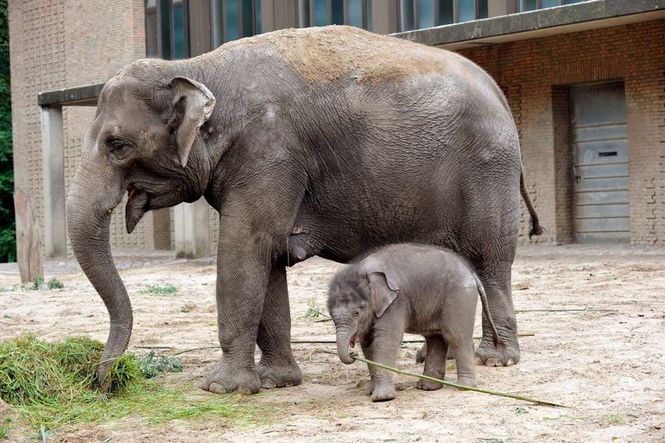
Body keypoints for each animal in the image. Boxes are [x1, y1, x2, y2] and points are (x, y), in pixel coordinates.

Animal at [324, 243, 500, 402]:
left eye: (356, 313)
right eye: (331, 314)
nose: (352, 353)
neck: (362, 271)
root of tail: (471, 272)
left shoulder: (395, 303)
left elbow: (387, 340)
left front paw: (382, 398)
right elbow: (368, 342)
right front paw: (370, 391)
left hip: (459, 295)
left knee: (455, 337)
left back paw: (464, 387)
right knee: (435, 339)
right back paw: (427, 387)